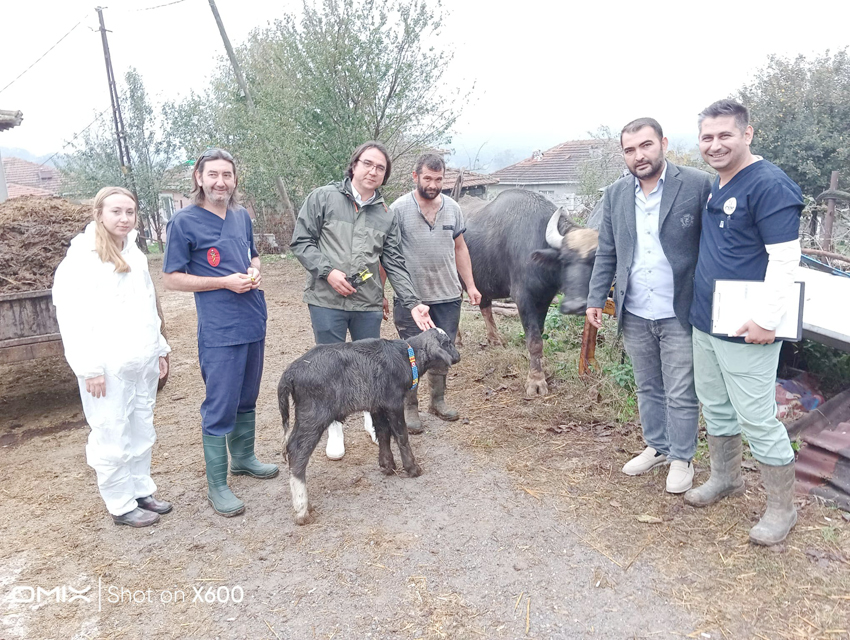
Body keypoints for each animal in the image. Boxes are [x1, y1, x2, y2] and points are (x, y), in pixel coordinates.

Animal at [458, 188, 596, 396]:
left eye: (596, 260)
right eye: (563, 259)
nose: (575, 306)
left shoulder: (545, 298)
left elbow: (539, 332)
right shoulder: (523, 298)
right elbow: (534, 340)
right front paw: (536, 381)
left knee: (485, 305)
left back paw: (495, 339)